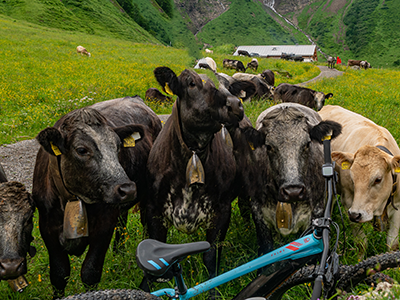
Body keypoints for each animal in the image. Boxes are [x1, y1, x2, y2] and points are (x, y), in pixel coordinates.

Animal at [31, 96, 161, 298]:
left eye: (118, 147)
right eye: (81, 150)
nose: (127, 188)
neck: (73, 200)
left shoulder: (104, 225)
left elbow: (90, 272)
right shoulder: (47, 227)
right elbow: (59, 275)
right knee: (122, 222)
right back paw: (118, 252)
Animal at [141, 66, 253, 296]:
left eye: (230, 86)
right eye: (191, 83)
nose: (235, 104)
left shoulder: (222, 210)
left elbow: (211, 257)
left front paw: (214, 292)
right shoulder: (153, 209)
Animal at [318, 105, 400, 251]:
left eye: (378, 179)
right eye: (352, 178)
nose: (356, 214)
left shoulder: (398, 209)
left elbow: (392, 244)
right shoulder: (349, 204)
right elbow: (361, 244)